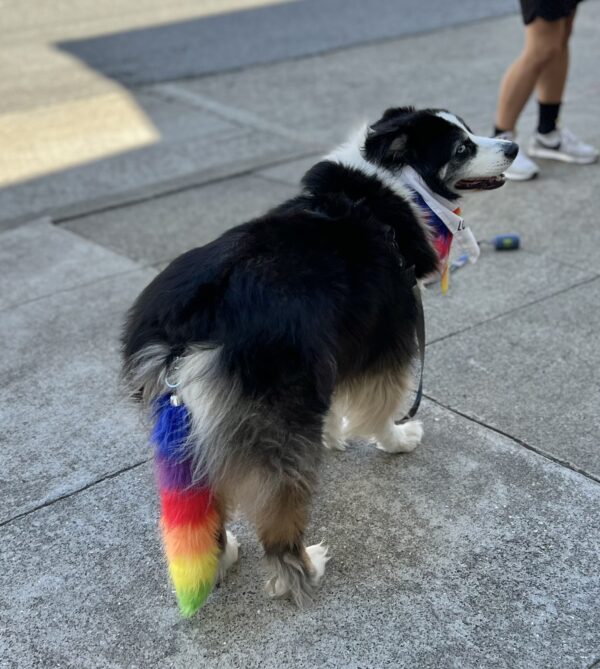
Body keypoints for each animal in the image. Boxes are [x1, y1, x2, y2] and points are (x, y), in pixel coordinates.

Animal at [120, 107, 516, 612]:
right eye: (463, 147)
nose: (513, 147)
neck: (397, 183)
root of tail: (192, 323)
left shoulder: (336, 342)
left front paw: (333, 434)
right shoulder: (387, 338)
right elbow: (383, 406)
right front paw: (397, 439)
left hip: (192, 427)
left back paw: (222, 553)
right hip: (278, 426)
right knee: (279, 513)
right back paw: (303, 566)